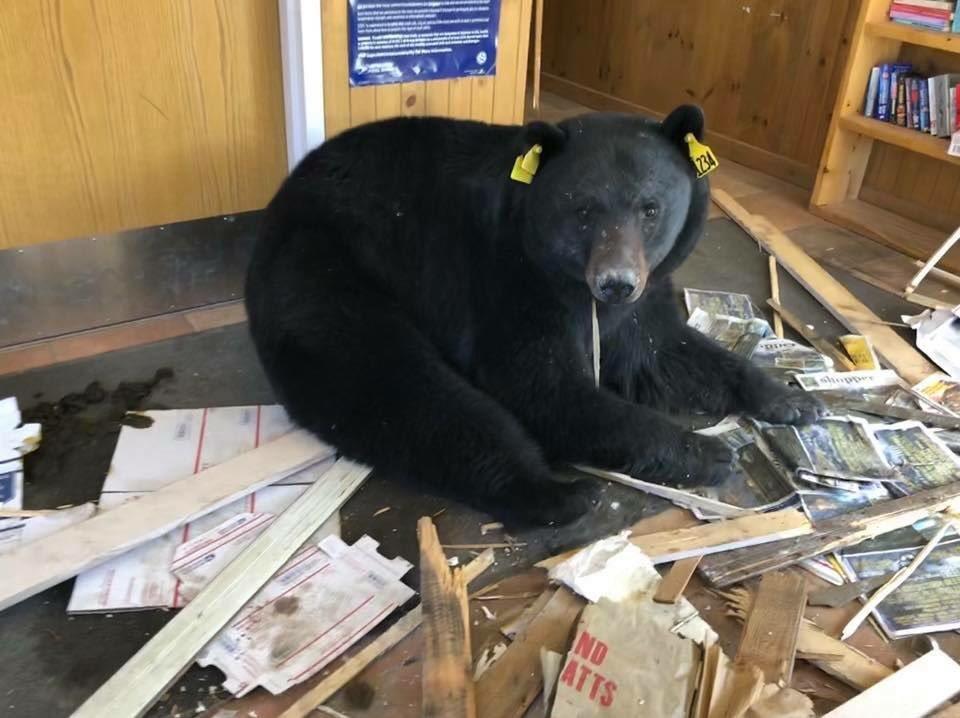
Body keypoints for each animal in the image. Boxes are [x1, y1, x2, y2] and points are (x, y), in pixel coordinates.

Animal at [244, 105, 820, 524]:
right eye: (582, 209)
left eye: (650, 208)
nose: (615, 282)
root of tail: (278, 202)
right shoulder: (506, 280)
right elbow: (542, 385)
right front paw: (706, 450)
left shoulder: (645, 294)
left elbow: (664, 352)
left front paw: (789, 399)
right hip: (327, 277)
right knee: (408, 390)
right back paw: (555, 493)